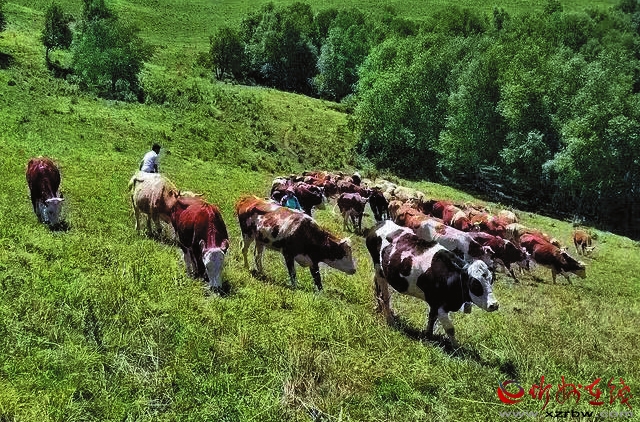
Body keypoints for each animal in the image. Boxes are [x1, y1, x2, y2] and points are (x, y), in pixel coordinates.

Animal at [366, 221, 498, 348]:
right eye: (475, 284)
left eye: (491, 280)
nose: (494, 305)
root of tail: (381, 223)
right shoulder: (438, 304)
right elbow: (450, 329)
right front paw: (457, 348)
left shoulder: (435, 305)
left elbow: (431, 319)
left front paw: (428, 336)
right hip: (378, 268)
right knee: (385, 296)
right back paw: (389, 320)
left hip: (380, 271)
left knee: (376, 285)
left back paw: (379, 308)